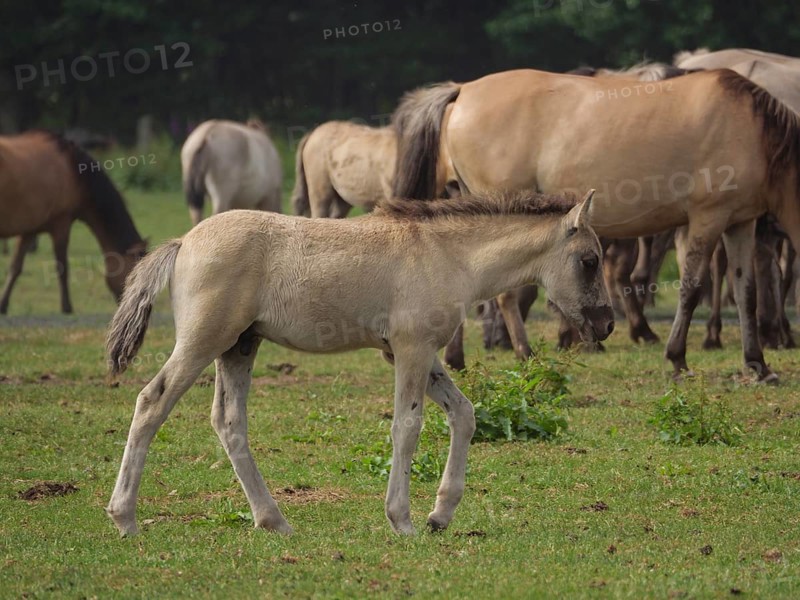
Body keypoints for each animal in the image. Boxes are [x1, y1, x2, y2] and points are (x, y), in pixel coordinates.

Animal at [0, 131, 146, 314]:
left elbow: (15, 267)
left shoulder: (30, 229)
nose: (140, 307)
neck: (74, 171)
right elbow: (62, 267)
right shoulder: (61, 224)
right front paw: (66, 307)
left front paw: (3, 304)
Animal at [104, 189, 614, 537]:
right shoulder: (410, 349)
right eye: (590, 260)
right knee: (151, 402)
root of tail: (183, 242)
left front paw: (441, 514)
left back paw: (273, 520)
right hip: (204, 341)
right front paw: (403, 520)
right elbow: (407, 428)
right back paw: (125, 517)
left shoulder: (415, 351)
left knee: (229, 423)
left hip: (240, 346)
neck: (447, 254)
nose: (607, 324)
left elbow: (465, 414)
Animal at [392, 68, 800, 382]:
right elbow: (692, 287)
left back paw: (456, 359)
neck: (751, 128)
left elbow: (746, 292)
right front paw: (677, 358)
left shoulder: (740, 223)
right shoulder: (707, 217)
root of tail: (463, 91)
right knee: (506, 295)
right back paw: (525, 353)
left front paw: (758, 364)